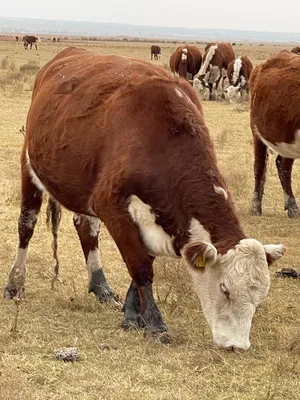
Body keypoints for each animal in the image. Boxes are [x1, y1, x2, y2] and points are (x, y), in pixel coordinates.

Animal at [2, 47, 284, 352]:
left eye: (259, 298)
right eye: (225, 289)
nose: (237, 346)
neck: (161, 139)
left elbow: (143, 262)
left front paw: (131, 314)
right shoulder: (112, 206)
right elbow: (141, 268)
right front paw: (155, 324)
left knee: (87, 230)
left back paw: (101, 287)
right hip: (29, 166)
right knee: (26, 226)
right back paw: (15, 283)